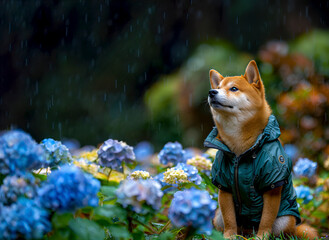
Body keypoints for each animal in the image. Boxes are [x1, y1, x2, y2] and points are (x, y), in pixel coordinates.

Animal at [204, 60, 316, 238]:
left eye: (234, 88)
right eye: (219, 87)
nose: (212, 92)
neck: (241, 150)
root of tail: (247, 231)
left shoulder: (272, 184)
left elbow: (266, 219)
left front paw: (261, 237)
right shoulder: (224, 185)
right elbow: (229, 219)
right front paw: (229, 236)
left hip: (285, 220)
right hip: (218, 216)